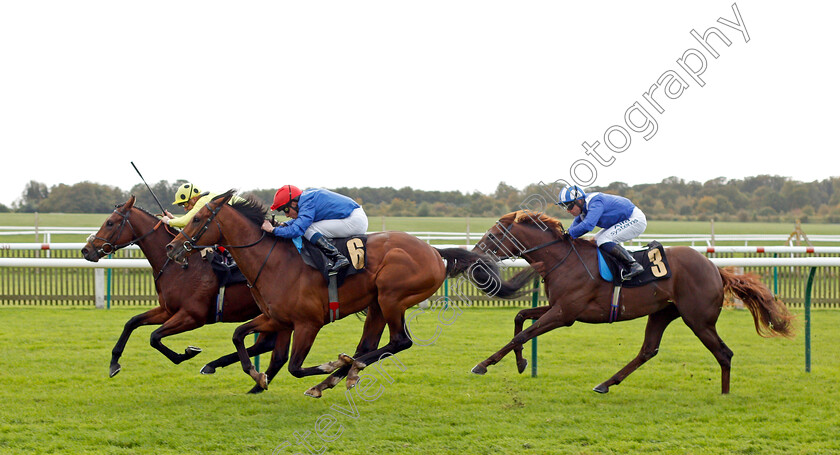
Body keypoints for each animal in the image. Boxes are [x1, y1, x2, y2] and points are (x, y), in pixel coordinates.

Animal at [82, 196, 272, 384]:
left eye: (110, 223)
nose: (86, 250)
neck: (178, 266)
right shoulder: (167, 310)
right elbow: (132, 322)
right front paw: (114, 363)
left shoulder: (192, 316)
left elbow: (154, 336)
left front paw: (188, 352)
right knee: (264, 344)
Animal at [162, 191, 506, 398]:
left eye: (196, 218)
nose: (172, 248)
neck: (272, 260)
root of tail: (435, 251)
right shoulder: (276, 318)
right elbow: (239, 335)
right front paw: (256, 377)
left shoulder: (308, 323)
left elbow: (294, 366)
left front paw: (325, 368)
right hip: (377, 305)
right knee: (368, 346)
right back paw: (345, 371)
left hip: (392, 298)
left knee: (399, 342)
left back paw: (341, 372)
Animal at [472, 212, 796, 394]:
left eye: (495, 234)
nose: (475, 255)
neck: (562, 260)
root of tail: (716, 269)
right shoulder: (559, 308)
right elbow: (520, 317)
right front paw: (521, 362)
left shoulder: (565, 314)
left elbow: (525, 332)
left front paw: (483, 364)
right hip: (663, 313)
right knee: (648, 350)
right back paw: (605, 384)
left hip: (698, 319)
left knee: (724, 353)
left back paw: (725, 394)